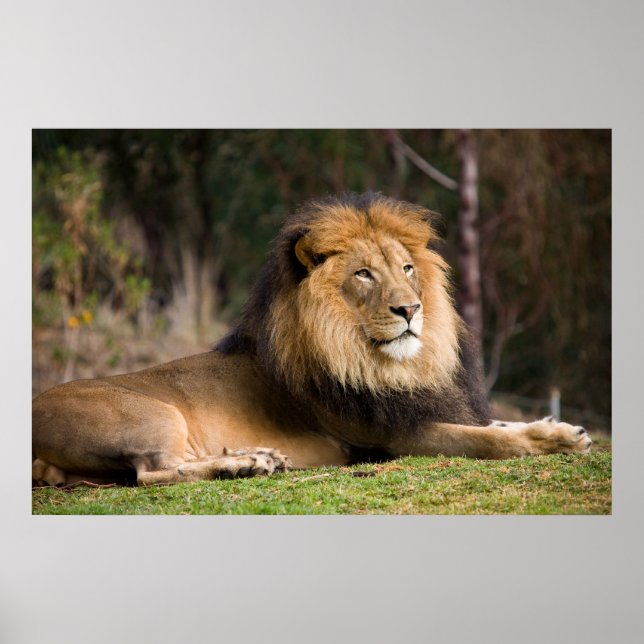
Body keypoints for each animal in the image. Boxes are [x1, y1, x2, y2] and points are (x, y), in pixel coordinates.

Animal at [32, 192, 591, 487]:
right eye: (364, 274)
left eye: (407, 269)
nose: (410, 309)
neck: (378, 362)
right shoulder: (387, 439)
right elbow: (484, 438)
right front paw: (555, 440)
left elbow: (492, 422)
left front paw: (555, 425)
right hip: (156, 415)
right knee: (153, 472)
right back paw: (246, 464)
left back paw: (258, 457)